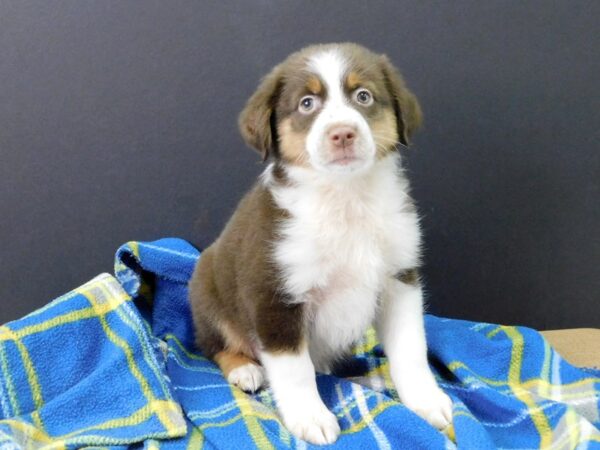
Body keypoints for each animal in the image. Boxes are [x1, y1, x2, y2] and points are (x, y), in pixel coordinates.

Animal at [190, 44, 452, 444]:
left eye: (363, 96)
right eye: (307, 104)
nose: (342, 133)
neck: (345, 199)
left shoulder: (400, 279)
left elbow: (411, 349)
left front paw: (426, 400)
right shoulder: (276, 295)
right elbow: (294, 369)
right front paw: (310, 417)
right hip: (206, 291)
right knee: (215, 346)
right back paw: (244, 370)